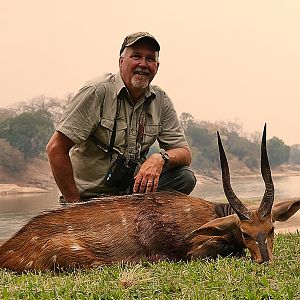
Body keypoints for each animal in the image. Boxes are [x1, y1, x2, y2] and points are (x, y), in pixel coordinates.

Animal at [0, 124, 298, 272]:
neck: (213, 214)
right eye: (245, 233)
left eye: (271, 229)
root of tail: (7, 250)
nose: (265, 261)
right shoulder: (194, 252)